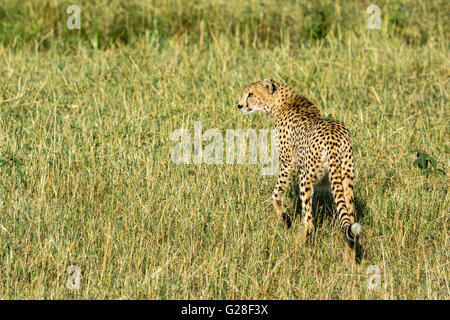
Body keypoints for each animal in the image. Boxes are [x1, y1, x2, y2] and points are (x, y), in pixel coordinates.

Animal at [236, 79, 362, 262]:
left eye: (250, 94)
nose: (239, 105)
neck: (281, 102)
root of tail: (334, 139)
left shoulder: (290, 163)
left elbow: (275, 193)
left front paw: (284, 217)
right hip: (346, 179)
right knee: (351, 224)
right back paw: (350, 261)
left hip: (306, 178)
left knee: (309, 223)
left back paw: (291, 249)